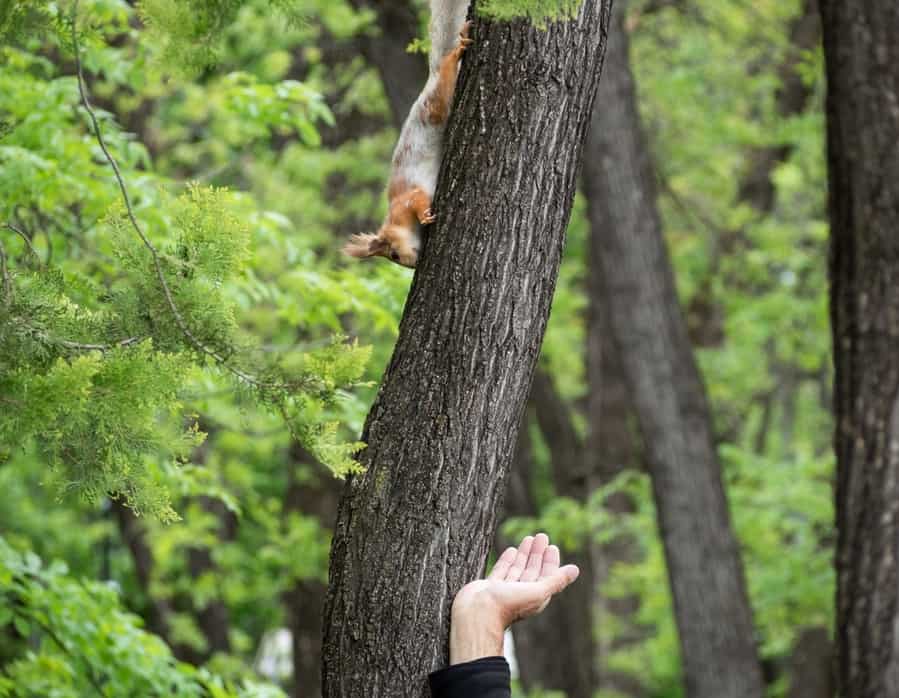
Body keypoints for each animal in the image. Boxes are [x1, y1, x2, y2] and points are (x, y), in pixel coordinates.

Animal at [342, 0, 472, 268]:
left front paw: (425, 217)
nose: (413, 264)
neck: (393, 219)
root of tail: (430, 80)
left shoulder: (406, 200)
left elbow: (418, 199)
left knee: (446, 72)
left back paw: (458, 50)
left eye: (393, 254)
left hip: (437, 105)